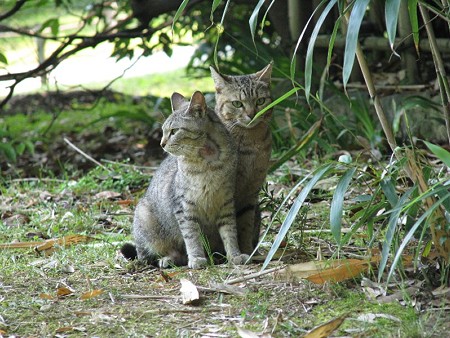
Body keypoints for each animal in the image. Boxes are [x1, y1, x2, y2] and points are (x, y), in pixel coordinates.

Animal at [121, 90, 250, 270]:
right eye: (163, 131)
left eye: (174, 131)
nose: (161, 143)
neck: (208, 161)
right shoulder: (184, 207)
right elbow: (191, 236)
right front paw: (196, 258)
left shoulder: (226, 203)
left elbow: (230, 233)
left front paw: (235, 255)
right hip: (144, 218)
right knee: (146, 255)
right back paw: (167, 259)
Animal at [209, 62, 272, 254]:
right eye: (237, 103)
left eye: (260, 101)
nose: (252, 114)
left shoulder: (252, 191)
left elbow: (246, 224)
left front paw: (247, 251)